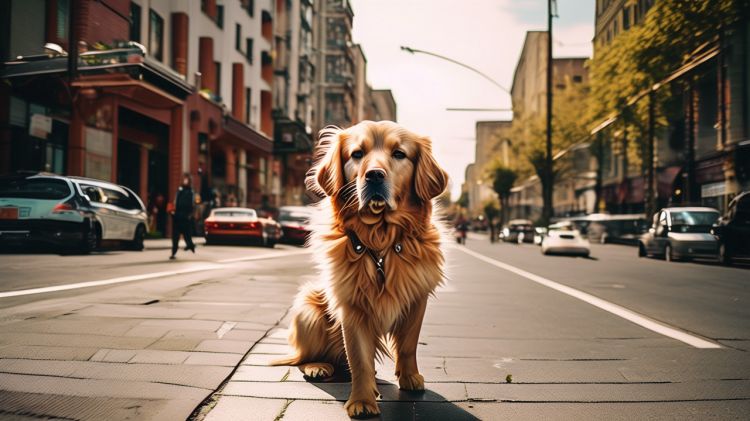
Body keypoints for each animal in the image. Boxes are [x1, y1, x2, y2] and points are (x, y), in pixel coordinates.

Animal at [276, 120, 452, 416]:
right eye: (357, 154)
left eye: (399, 154)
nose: (374, 176)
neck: (380, 243)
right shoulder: (351, 307)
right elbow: (359, 359)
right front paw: (361, 401)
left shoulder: (417, 300)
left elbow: (408, 345)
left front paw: (409, 378)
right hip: (308, 308)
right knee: (303, 358)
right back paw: (317, 367)